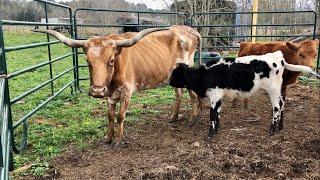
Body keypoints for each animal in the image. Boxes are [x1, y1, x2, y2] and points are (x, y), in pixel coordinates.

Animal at [32, 26, 202, 147]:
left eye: (111, 60)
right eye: (87, 61)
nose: (97, 90)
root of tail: (188, 30)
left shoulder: (126, 91)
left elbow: (120, 116)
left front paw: (118, 140)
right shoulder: (110, 94)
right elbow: (110, 115)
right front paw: (108, 138)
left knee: (193, 94)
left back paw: (193, 119)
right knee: (179, 94)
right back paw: (173, 118)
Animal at [169, 51, 318, 139]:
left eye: (176, 74)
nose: (169, 82)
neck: (206, 73)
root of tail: (277, 56)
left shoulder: (215, 96)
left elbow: (212, 115)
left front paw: (210, 134)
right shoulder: (218, 97)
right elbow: (217, 114)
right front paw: (216, 130)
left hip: (273, 90)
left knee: (276, 107)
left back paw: (272, 130)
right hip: (278, 90)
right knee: (282, 104)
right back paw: (280, 127)